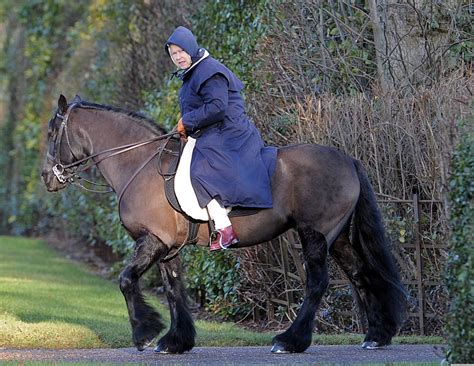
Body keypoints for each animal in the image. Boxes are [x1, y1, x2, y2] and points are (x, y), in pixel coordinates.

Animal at [41, 94, 408, 354]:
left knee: (317, 284)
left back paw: (290, 341)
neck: (138, 163)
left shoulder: (152, 241)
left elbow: (127, 280)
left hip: (315, 235)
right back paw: (376, 335)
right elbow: (174, 290)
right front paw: (176, 341)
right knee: (361, 274)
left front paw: (144, 333)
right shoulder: (168, 248)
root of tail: (348, 159)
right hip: (339, 237)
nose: (46, 178)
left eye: (52, 133)